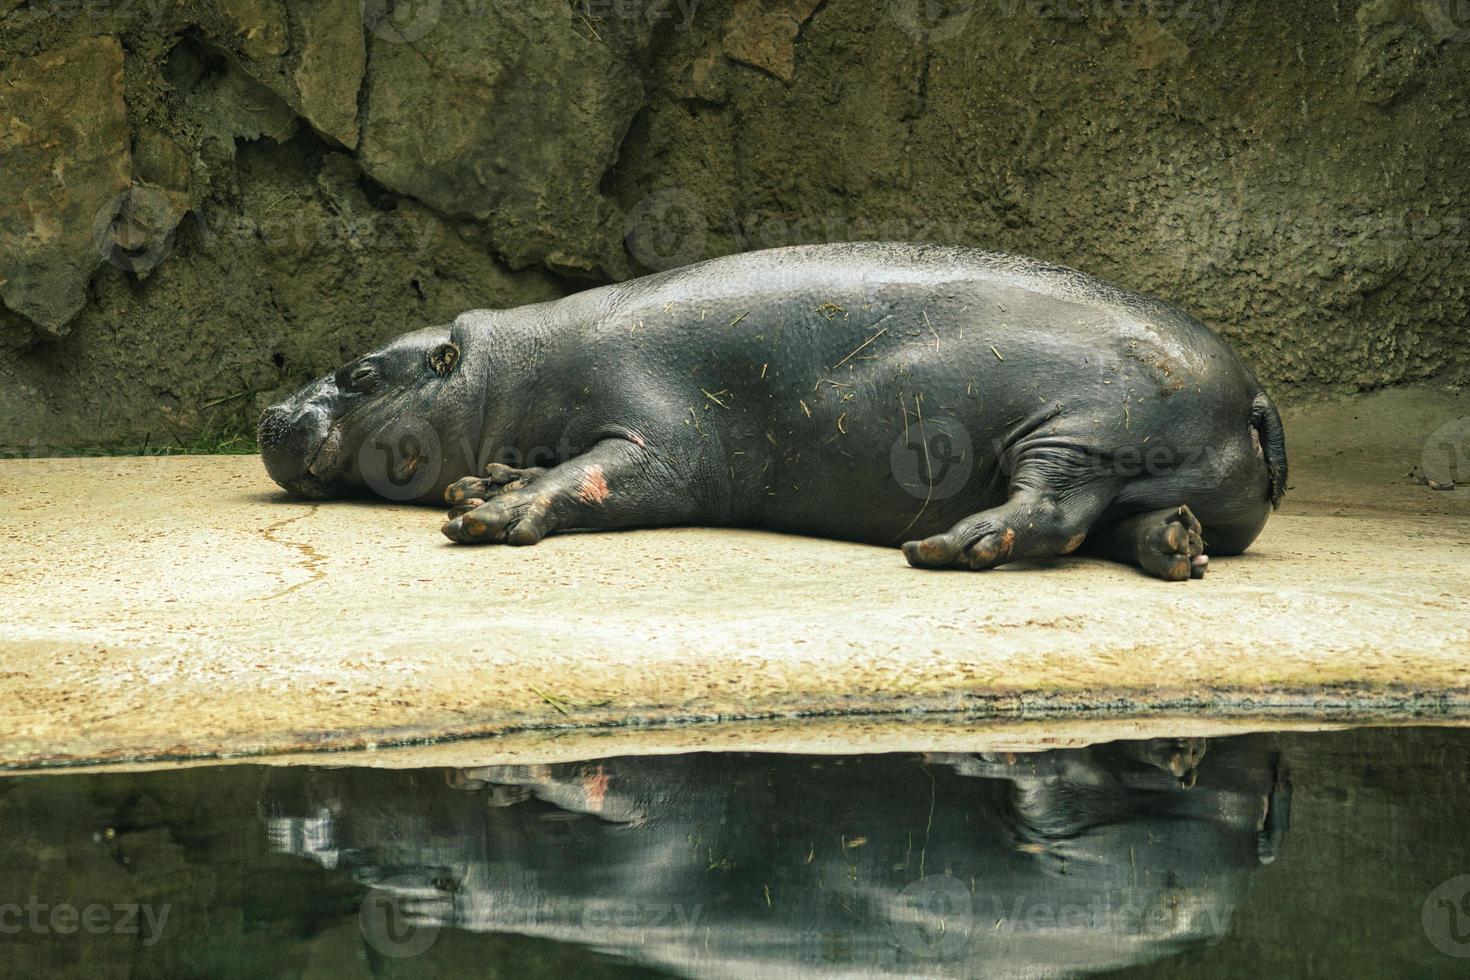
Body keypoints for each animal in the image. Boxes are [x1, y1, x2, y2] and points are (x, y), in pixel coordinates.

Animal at [261, 243, 1287, 578]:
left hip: (1080, 432)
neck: (505, 370)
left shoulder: (658, 433)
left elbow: (598, 474)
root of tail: (1253, 389)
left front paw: (492, 509)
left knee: (1054, 510)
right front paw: (489, 481)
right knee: (1126, 524)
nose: (271, 411)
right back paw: (1175, 546)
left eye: (357, 371)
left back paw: (950, 545)